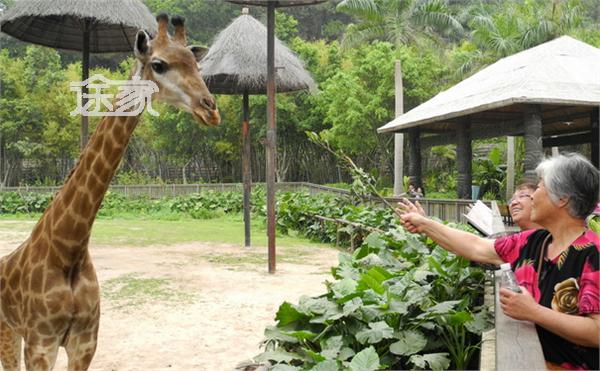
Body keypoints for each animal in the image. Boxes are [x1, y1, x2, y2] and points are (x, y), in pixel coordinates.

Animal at [0, 13, 220, 370]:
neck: (70, 249)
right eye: (159, 65)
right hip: (8, 330)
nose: (211, 109)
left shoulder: (85, 343)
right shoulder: (40, 344)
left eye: (196, 65)